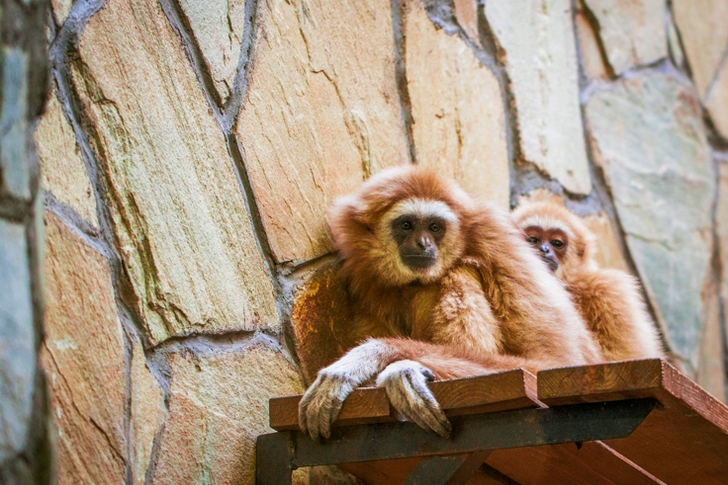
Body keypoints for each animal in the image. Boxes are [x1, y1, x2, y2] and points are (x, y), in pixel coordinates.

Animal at [298, 166, 604, 440]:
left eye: (435, 227)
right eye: (406, 225)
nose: (423, 243)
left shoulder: (501, 248)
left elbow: (547, 362)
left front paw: (377, 359)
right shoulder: (365, 280)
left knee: (458, 271)